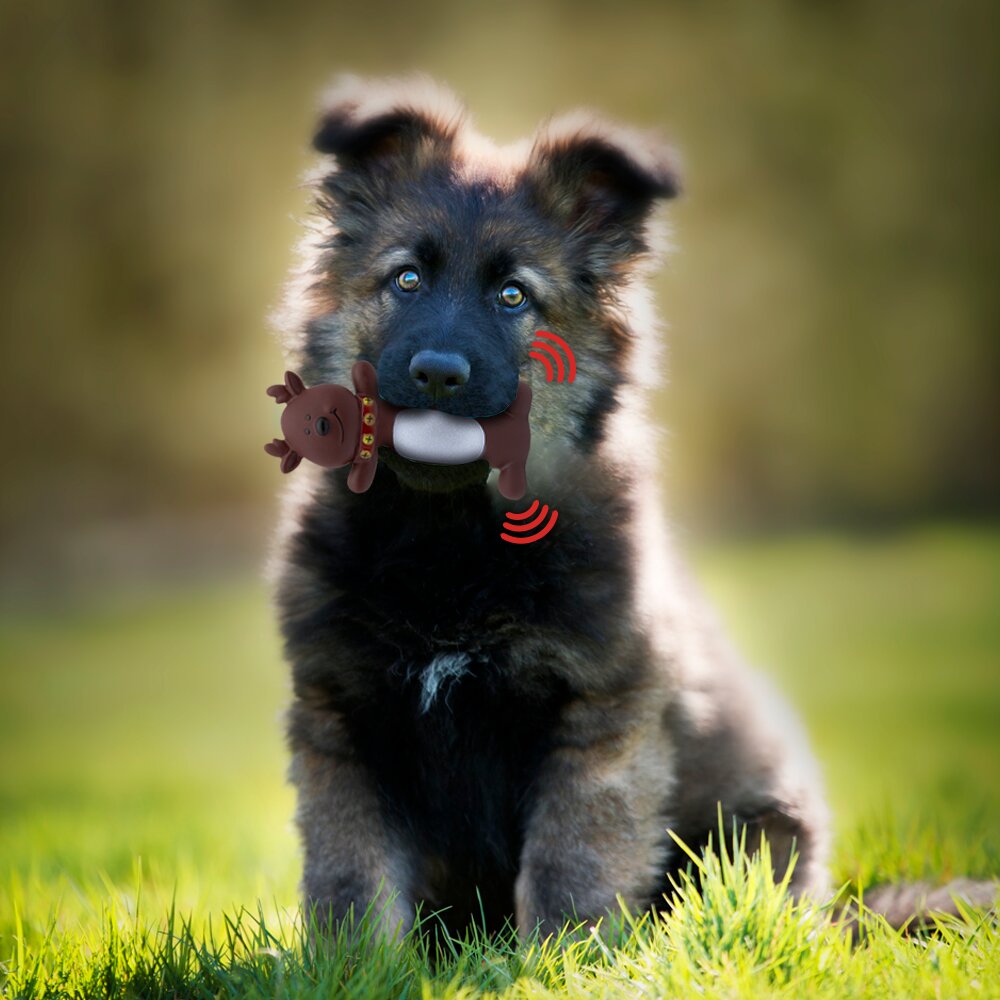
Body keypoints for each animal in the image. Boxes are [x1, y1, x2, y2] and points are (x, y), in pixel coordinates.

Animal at [272, 76, 828, 936]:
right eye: (406, 279)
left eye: (513, 295)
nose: (439, 373)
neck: (449, 541)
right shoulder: (341, 718)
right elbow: (351, 881)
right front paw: (351, 960)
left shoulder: (599, 719)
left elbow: (574, 865)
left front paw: (560, 954)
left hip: (764, 826)